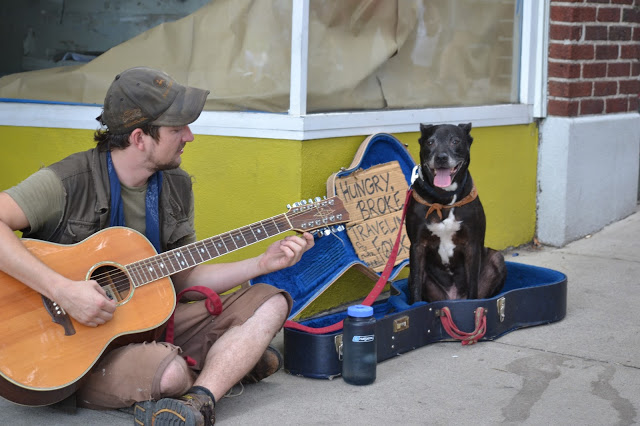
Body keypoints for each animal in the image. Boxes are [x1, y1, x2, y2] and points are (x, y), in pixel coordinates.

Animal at [406, 123, 506, 304]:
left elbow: (473, 284)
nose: (441, 157)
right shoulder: (417, 246)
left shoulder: (472, 245)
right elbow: (416, 286)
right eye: (430, 142)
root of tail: (453, 298)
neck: (444, 199)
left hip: (497, 259)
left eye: (455, 141)